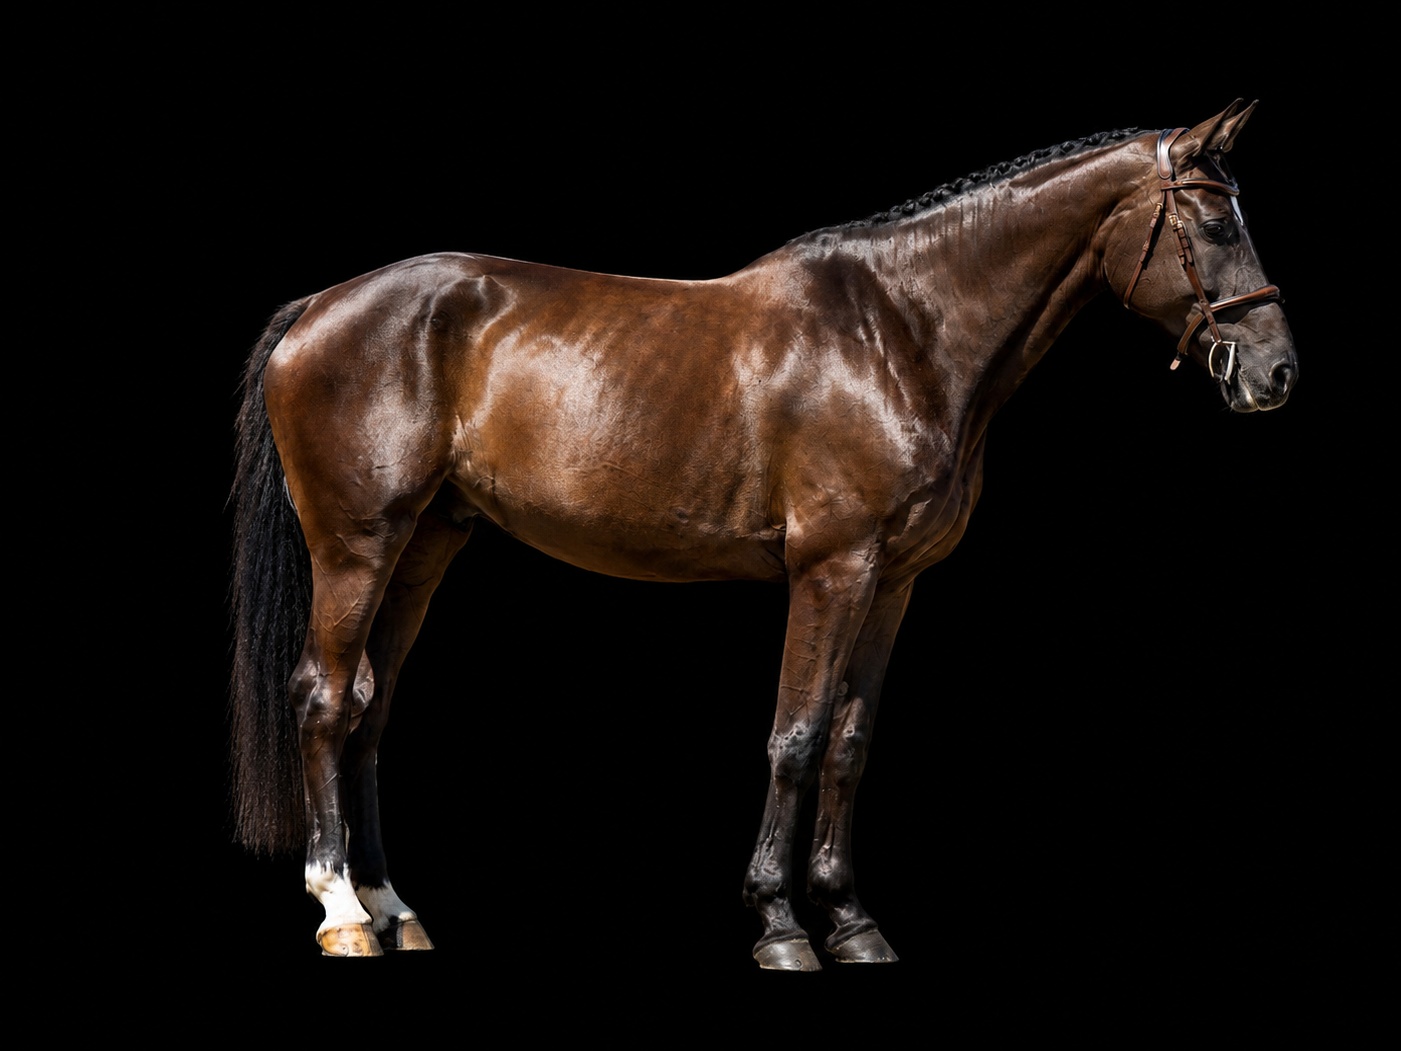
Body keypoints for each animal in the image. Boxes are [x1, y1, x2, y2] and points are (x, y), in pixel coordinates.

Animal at [230, 100, 1296, 967]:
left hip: (425, 548)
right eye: (1214, 221)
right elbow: (795, 735)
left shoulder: (894, 580)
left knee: (371, 708)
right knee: (323, 698)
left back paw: (394, 907)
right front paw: (781, 926)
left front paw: (853, 923)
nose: (1275, 372)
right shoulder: (832, 568)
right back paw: (341, 911)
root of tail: (319, 306)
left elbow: (850, 744)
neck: (900, 332)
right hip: (356, 547)